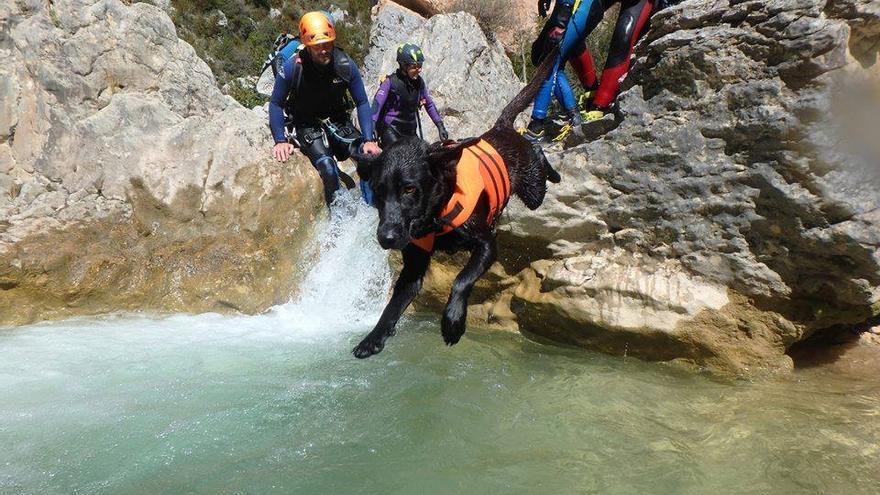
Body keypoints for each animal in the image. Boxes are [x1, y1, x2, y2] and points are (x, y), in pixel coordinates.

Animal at [348, 54, 556, 358]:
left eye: (409, 189)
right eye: (378, 192)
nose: (385, 238)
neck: (436, 216)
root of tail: (500, 127)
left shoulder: (486, 243)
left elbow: (462, 279)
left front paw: (453, 321)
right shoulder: (413, 268)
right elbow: (392, 306)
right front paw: (373, 337)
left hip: (533, 190)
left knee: (539, 160)